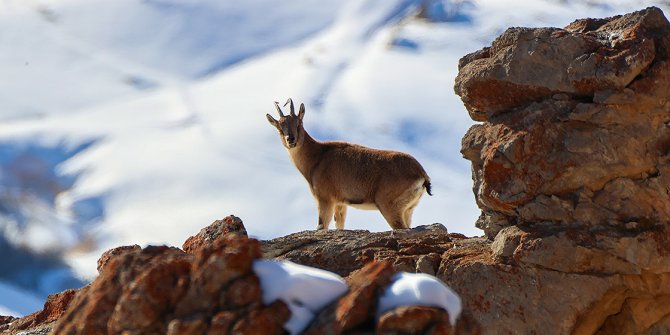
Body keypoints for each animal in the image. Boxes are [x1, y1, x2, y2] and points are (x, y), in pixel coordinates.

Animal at [266, 99, 434, 231]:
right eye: (279, 128)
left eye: (299, 123)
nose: (291, 140)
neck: (317, 156)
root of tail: (422, 174)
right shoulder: (340, 204)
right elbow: (339, 225)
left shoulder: (325, 199)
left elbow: (321, 226)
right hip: (408, 209)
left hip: (390, 205)